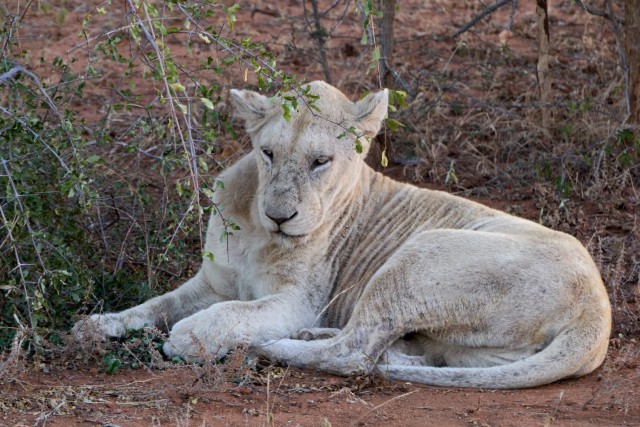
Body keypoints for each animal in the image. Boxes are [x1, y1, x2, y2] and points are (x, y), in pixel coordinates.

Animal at [75, 81, 608, 392]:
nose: (280, 216)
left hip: (418, 256)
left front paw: (190, 337)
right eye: (267, 153)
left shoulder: (297, 300)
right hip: (473, 345)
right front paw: (94, 326)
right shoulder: (212, 281)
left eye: (320, 162)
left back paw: (274, 347)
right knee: (392, 351)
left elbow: (229, 315)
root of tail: (597, 312)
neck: (258, 230)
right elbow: (154, 305)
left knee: (354, 353)